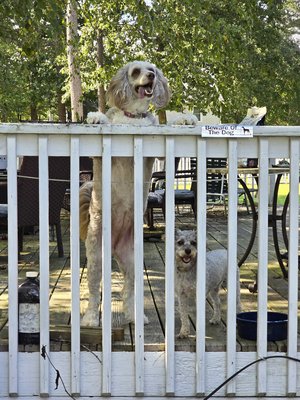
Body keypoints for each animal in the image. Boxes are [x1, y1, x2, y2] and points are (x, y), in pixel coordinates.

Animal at [79, 61, 197, 324]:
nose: (151, 75)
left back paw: (135, 315)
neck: (134, 117)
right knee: (93, 292)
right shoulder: (102, 156)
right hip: (95, 259)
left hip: (133, 261)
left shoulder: (157, 151)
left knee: (128, 289)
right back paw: (91, 318)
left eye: (152, 68)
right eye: (135, 71)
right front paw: (97, 117)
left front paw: (186, 119)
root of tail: (113, 246)